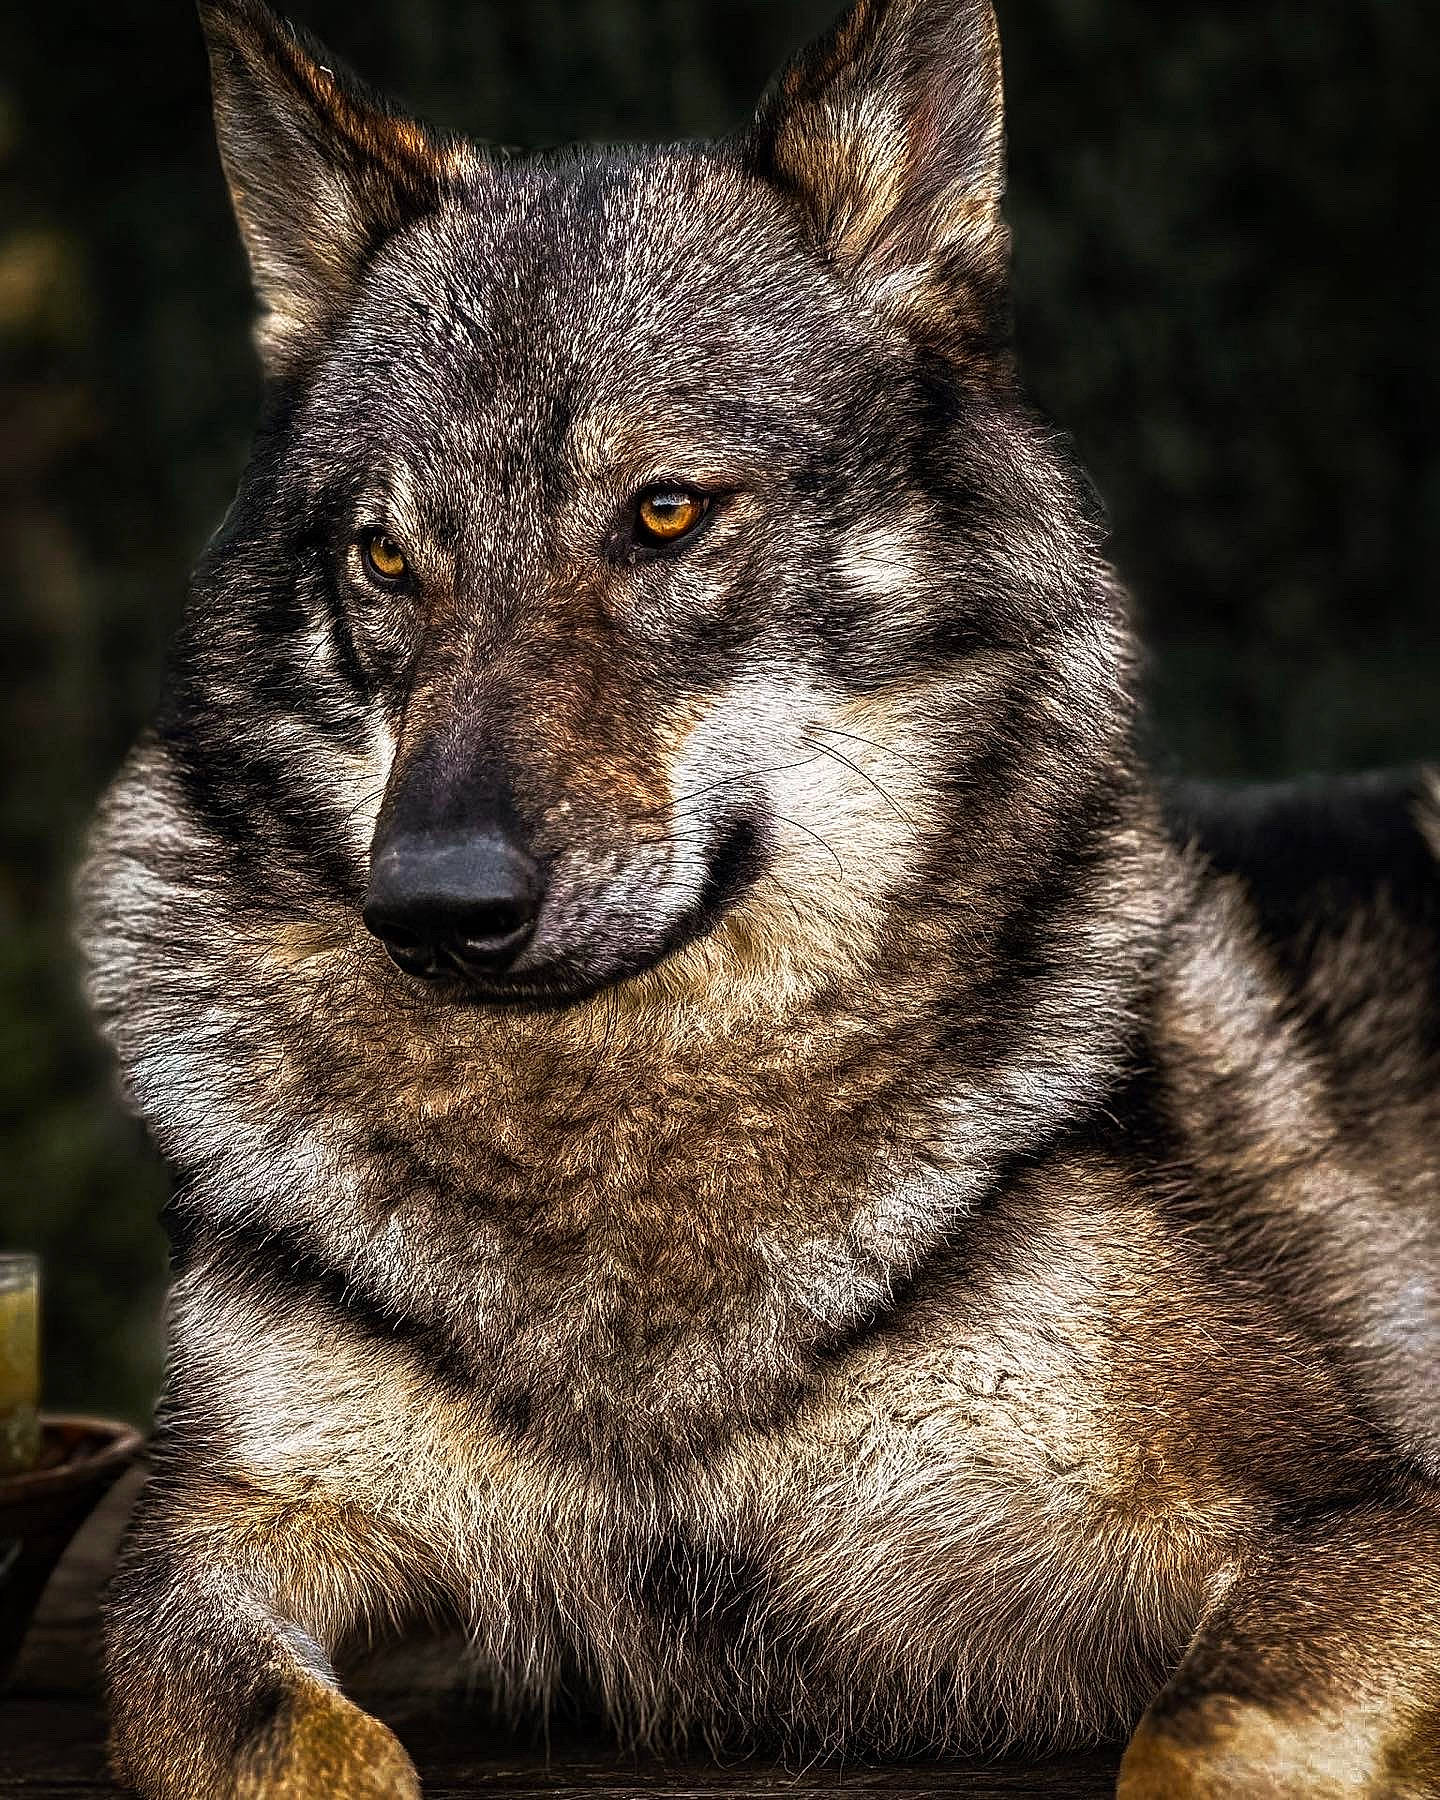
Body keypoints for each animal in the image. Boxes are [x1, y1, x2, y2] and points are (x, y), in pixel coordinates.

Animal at [79, 0, 1440, 1794]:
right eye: (385, 557)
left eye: (665, 514)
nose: (434, 906)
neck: (626, 1135)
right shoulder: (209, 1550)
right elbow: (302, 1745)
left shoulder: (1353, 1511)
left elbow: (1196, 1735)